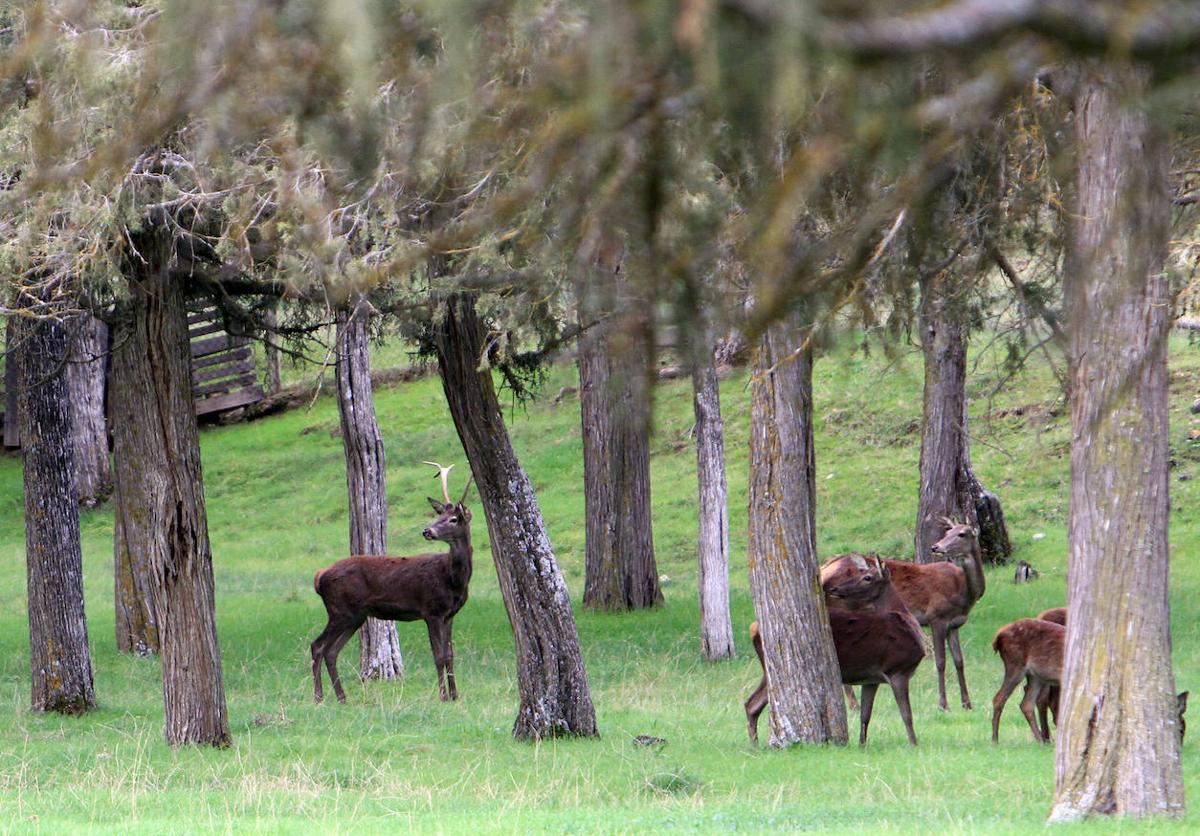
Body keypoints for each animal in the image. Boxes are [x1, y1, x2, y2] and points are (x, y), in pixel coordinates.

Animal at [309, 462, 472, 705]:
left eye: (453, 519)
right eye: (439, 515)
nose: (427, 530)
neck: (453, 580)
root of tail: (319, 576)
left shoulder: (449, 614)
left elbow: (450, 655)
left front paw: (455, 695)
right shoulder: (431, 610)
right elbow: (439, 655)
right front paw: (443, 696)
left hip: (355, 615)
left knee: (331, 651)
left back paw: (341, 697)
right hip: (340, 610)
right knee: (317, 646)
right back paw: (319, 697)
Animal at [739, 556, 926, 748]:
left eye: (867, 577)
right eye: (864, 574)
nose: (835, 588)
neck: (908, 621)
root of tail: (753, 628)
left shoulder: (872, 678)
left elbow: (865, 716)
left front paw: (862, 745)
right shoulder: (897, 668)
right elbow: (907, 715)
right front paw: (914, 744)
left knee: (751, 704)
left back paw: (754, 746)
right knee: (752, 704)